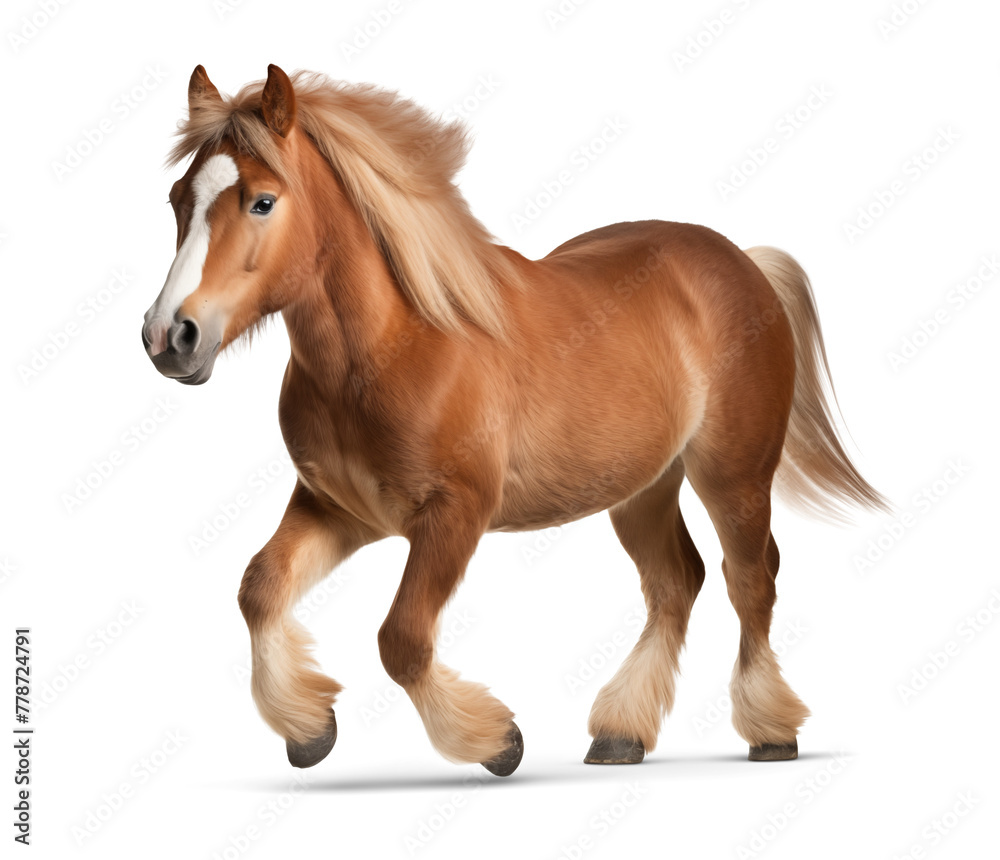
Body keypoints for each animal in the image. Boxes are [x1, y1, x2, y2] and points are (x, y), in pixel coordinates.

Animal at [142, 64, 885, 776]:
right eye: (179, 200)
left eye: (262, 201)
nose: (169, 337)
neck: (390, 348)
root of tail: (744, 263)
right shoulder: (338, 510)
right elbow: (260, 589)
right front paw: (309, 728)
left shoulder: (454, 515)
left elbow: (401, 638)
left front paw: (494, 741)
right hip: (642, 487)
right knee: (677, 582)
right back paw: (621, 734)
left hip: (734, 476)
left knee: (750, 579)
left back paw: (769, 732)